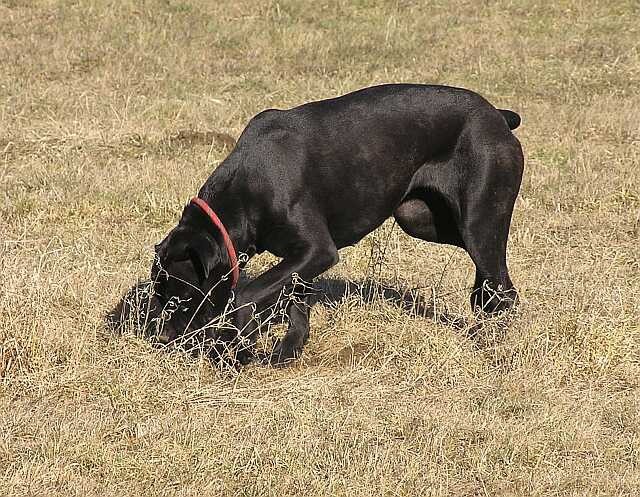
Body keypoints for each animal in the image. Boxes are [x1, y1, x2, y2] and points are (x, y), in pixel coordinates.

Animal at [142, 84, 524, 364]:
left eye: (176, 296)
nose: (161, 339)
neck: (243, 191)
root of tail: (498, 117)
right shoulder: (301, 262)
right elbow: (294, 303)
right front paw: (286, 350)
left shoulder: (316, 251)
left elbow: (246, 294)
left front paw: (240, 341)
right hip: (422, 219)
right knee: (490, 280)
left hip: (478, 221)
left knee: (502, 284)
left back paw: (493, 342)